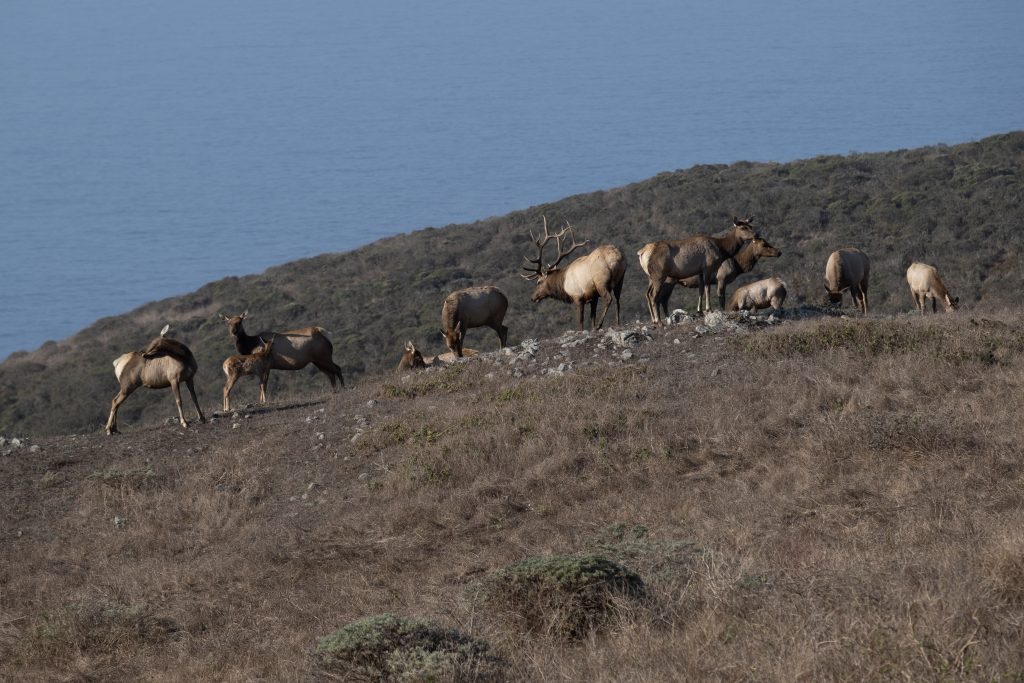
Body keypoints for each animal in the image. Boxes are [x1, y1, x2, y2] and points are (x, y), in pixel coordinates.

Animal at [218, 311, 346, 387]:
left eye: (239, 322)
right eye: (228, 323)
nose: (233, 332)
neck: (250, 345)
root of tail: (325, 334)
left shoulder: (266, 366)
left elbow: (263, 384)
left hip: (324, 357)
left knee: (337, 369)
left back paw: (343, 388)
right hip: (317, 361)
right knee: (330, 374)